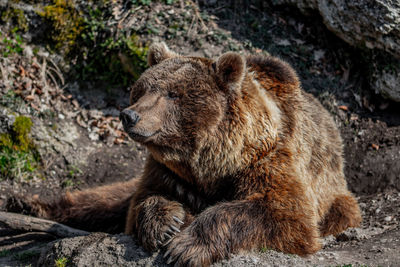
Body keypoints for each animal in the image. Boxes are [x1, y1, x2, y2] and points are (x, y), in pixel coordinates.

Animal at [14, 43, 360, 266]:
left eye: (172, 94)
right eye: (142, 88)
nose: (129, 115)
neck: (212, 162)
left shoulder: (270, 158)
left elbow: (283, 213)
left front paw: (186, 246)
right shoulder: (167, 170)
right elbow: (141, 202)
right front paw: (166, 223)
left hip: (337, 197)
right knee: (101, 200)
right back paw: (28, 203)